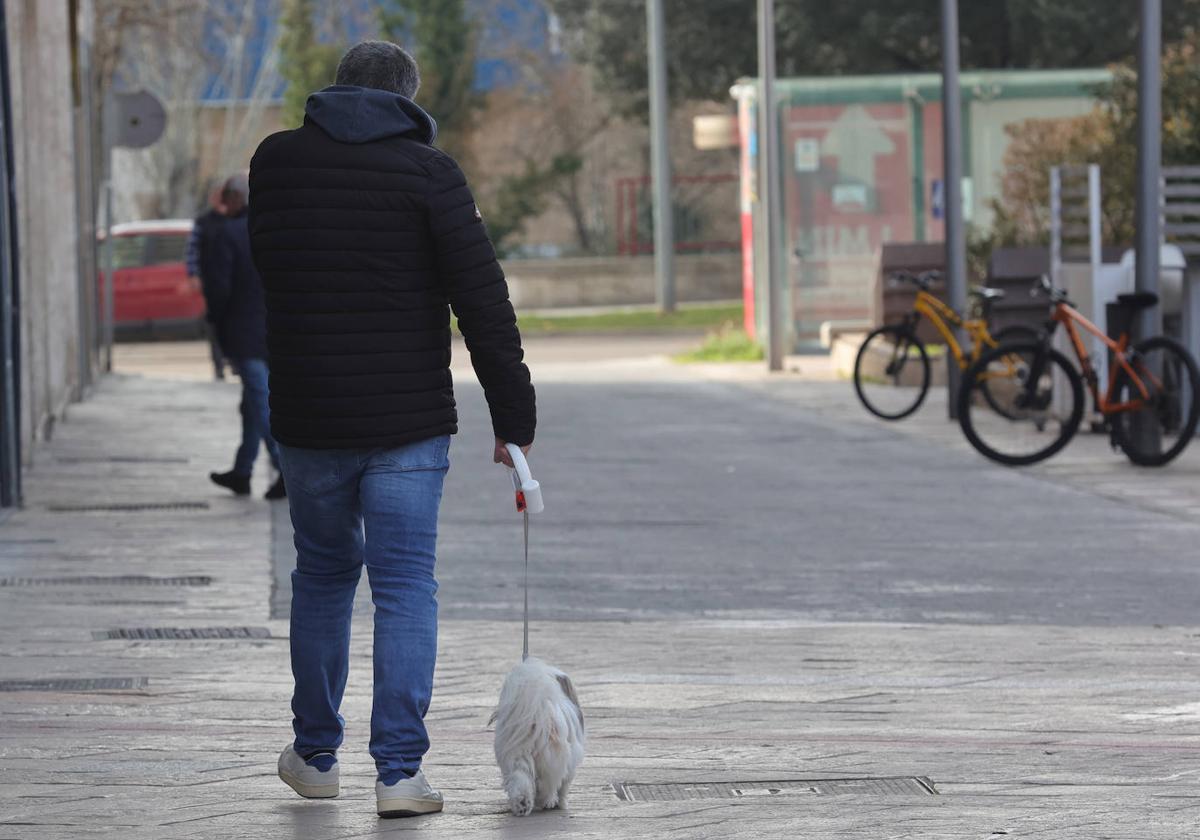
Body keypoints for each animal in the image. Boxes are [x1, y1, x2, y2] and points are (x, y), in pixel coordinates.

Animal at [492, 657, 585, 816]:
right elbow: (564, 786)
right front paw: (561, 803)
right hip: (552, 758)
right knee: (549, 783)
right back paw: (547, 801)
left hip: (517, 754)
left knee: (520, 777)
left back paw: (522, 803)